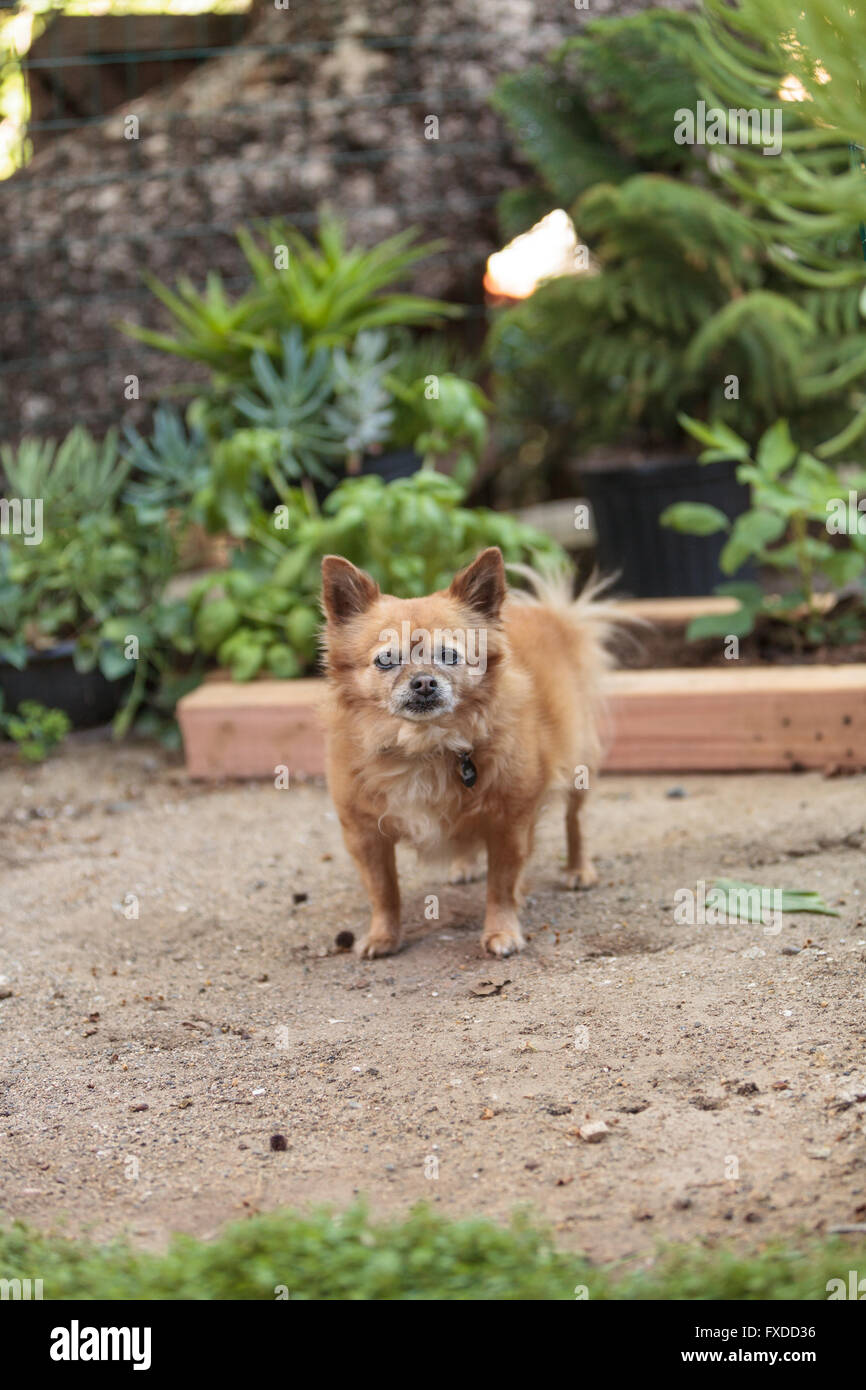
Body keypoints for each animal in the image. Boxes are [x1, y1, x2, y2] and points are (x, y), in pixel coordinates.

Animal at [319, 547, 617, 961]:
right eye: (385, 660)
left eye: (449, 655)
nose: (423, 682)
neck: (424, 747)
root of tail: (552, 615)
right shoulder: (364, 834)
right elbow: (383, 890)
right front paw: (383, 935)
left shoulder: (510, 823)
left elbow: (501, 885)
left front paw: (502, 931)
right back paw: (464, 864)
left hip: (578, 766)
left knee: (575, 821)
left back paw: (578, 869)